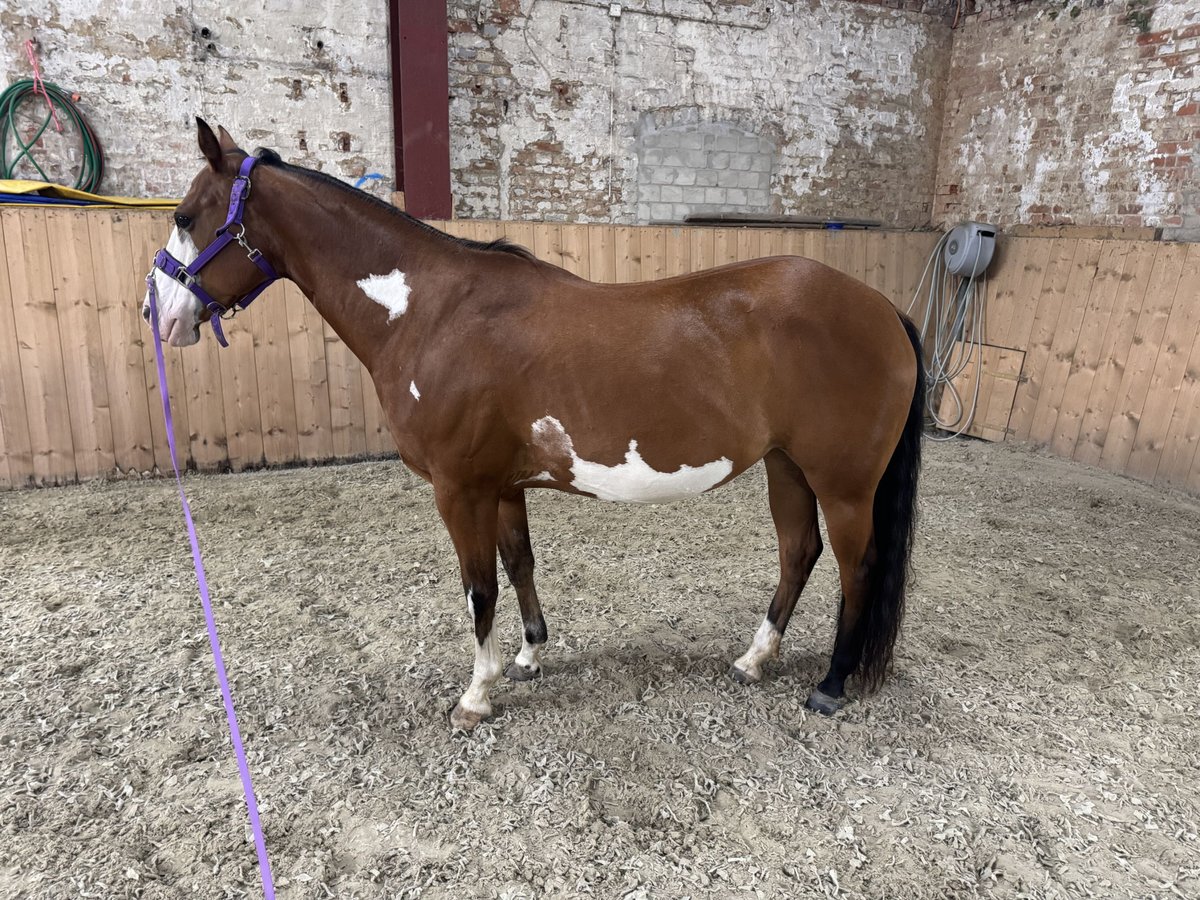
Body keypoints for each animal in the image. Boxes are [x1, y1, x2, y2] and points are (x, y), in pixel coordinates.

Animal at [144, 119, 924, 731]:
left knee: (856, 566)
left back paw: (830, 686)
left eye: (185, 215)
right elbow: (519, 565)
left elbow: (478, 588)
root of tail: (882, 308)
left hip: (842, 482)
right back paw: (755, 660)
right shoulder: (502, 485)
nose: (161, 315)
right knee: (798, 553)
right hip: (786, 466)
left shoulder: (459, 488)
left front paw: (475, 696)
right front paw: (526, 657)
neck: (432, 311)